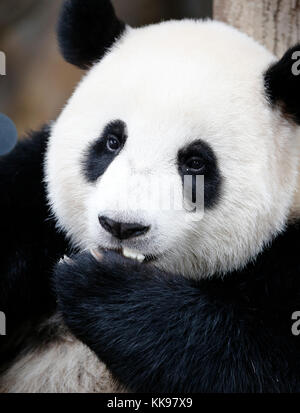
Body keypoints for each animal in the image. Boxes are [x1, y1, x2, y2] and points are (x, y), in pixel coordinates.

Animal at [1, 0, 300, 392]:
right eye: (112, 142)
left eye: (195, 162)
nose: (121, 226)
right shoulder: (28, 200)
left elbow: (251, 363)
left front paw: (101, 285)